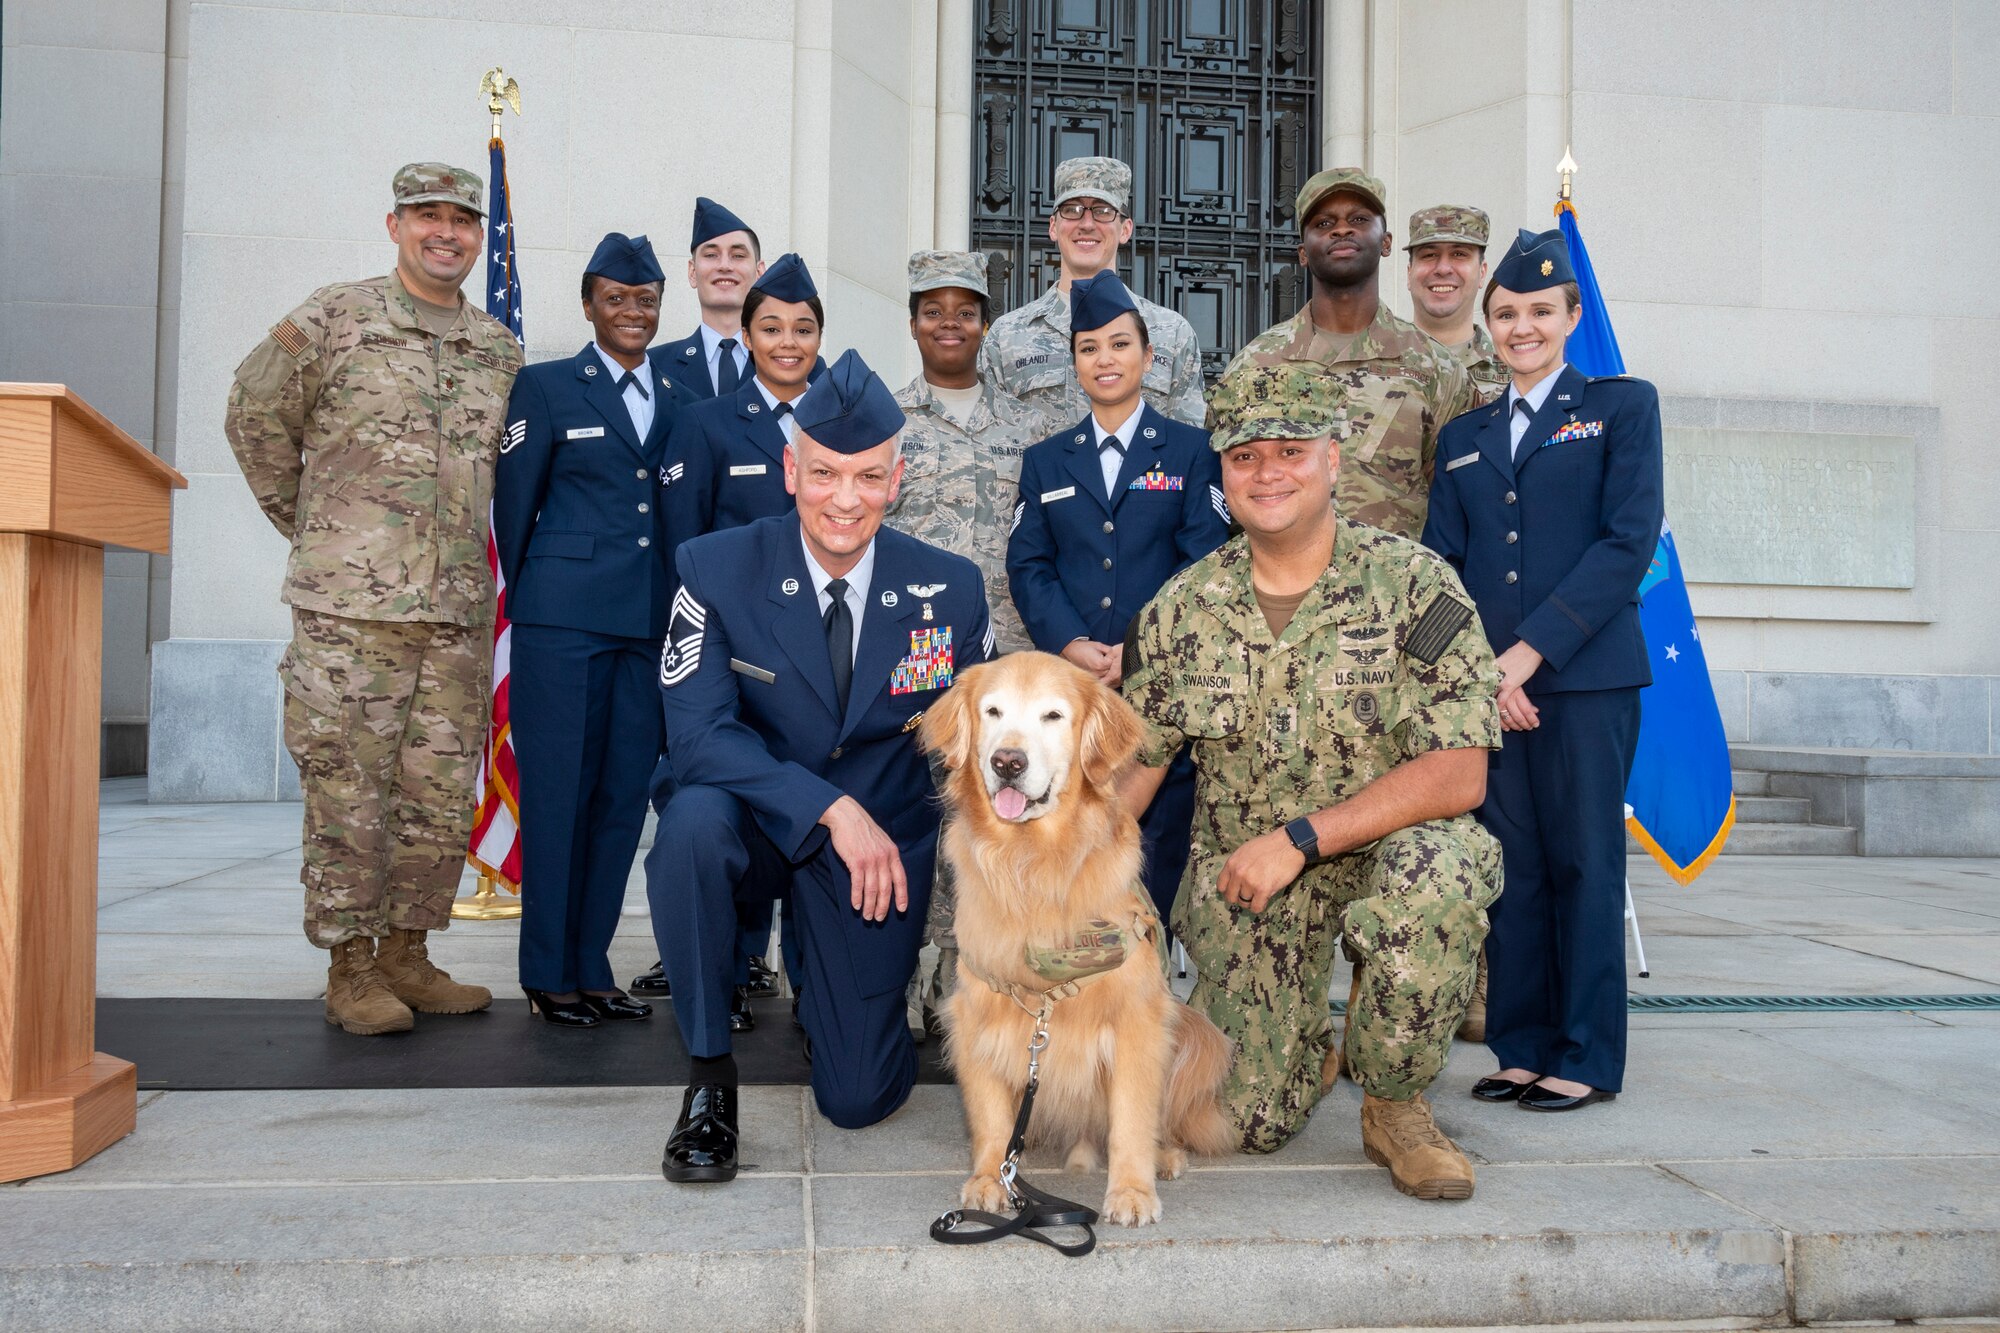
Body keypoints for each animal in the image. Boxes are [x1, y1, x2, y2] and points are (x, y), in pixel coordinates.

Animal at [920, 648, 1232, 1216]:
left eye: (1053, 715)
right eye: (993, 711)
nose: (1008, 762)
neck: (1033, 865)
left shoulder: (1137, 1018)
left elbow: (1132, 1114)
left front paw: (1131, 1191)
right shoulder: (976, 1015)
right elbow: (990, 1113)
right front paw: (990, 1178)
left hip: (1194, 1034)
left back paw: (1163, 1156)